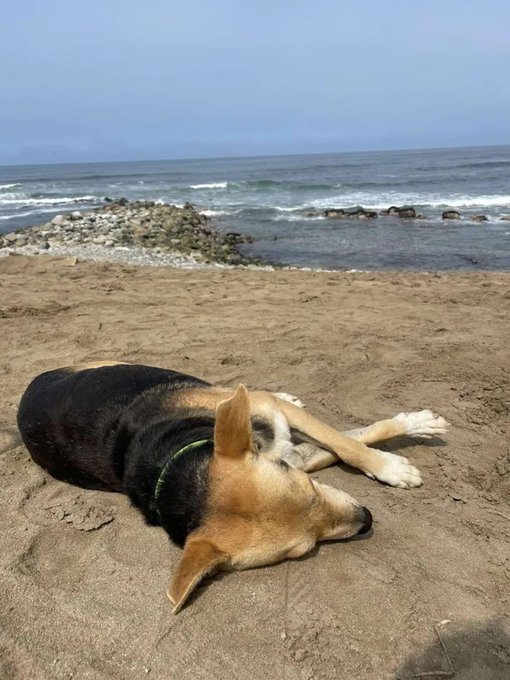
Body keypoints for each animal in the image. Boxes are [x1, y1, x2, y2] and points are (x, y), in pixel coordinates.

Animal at [15, 364, 448, 612]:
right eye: (302, 550)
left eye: (310, 488)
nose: (367, 519)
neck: (177, 460)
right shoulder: (292, 453)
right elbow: (348, 441)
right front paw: (393, 457)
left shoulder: (281, 434)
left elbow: (349, 442)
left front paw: (398, 453)